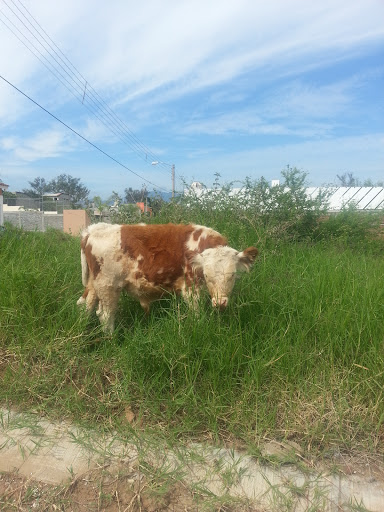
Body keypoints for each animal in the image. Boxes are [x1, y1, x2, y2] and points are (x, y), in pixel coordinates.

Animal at [77, 223, 258, 332]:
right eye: (207, 274)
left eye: (232, 274)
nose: (220, 303)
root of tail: (93, 230)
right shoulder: (190, 288)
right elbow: (197, 313)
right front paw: (199, 328)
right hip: (108, 286)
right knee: (105, 314)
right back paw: (111, 339)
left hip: (94, 285)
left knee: (87, 304)